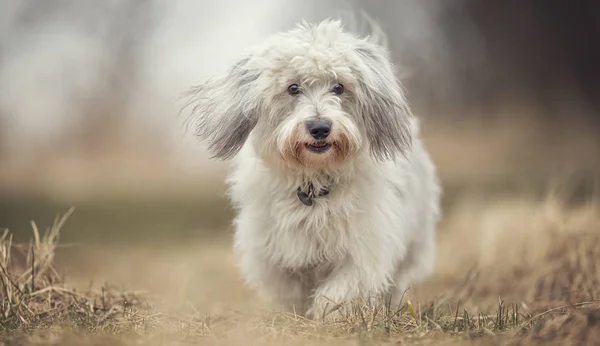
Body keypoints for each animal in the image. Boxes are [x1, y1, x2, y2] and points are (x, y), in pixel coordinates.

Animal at [185, 18, 442, 318]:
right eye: (293, 88)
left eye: (339, 87)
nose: (320, 128)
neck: (313, 185)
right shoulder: (274, 253)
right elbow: (291, 289)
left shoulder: (364, 247)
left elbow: (341, 289)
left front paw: (327, 314)